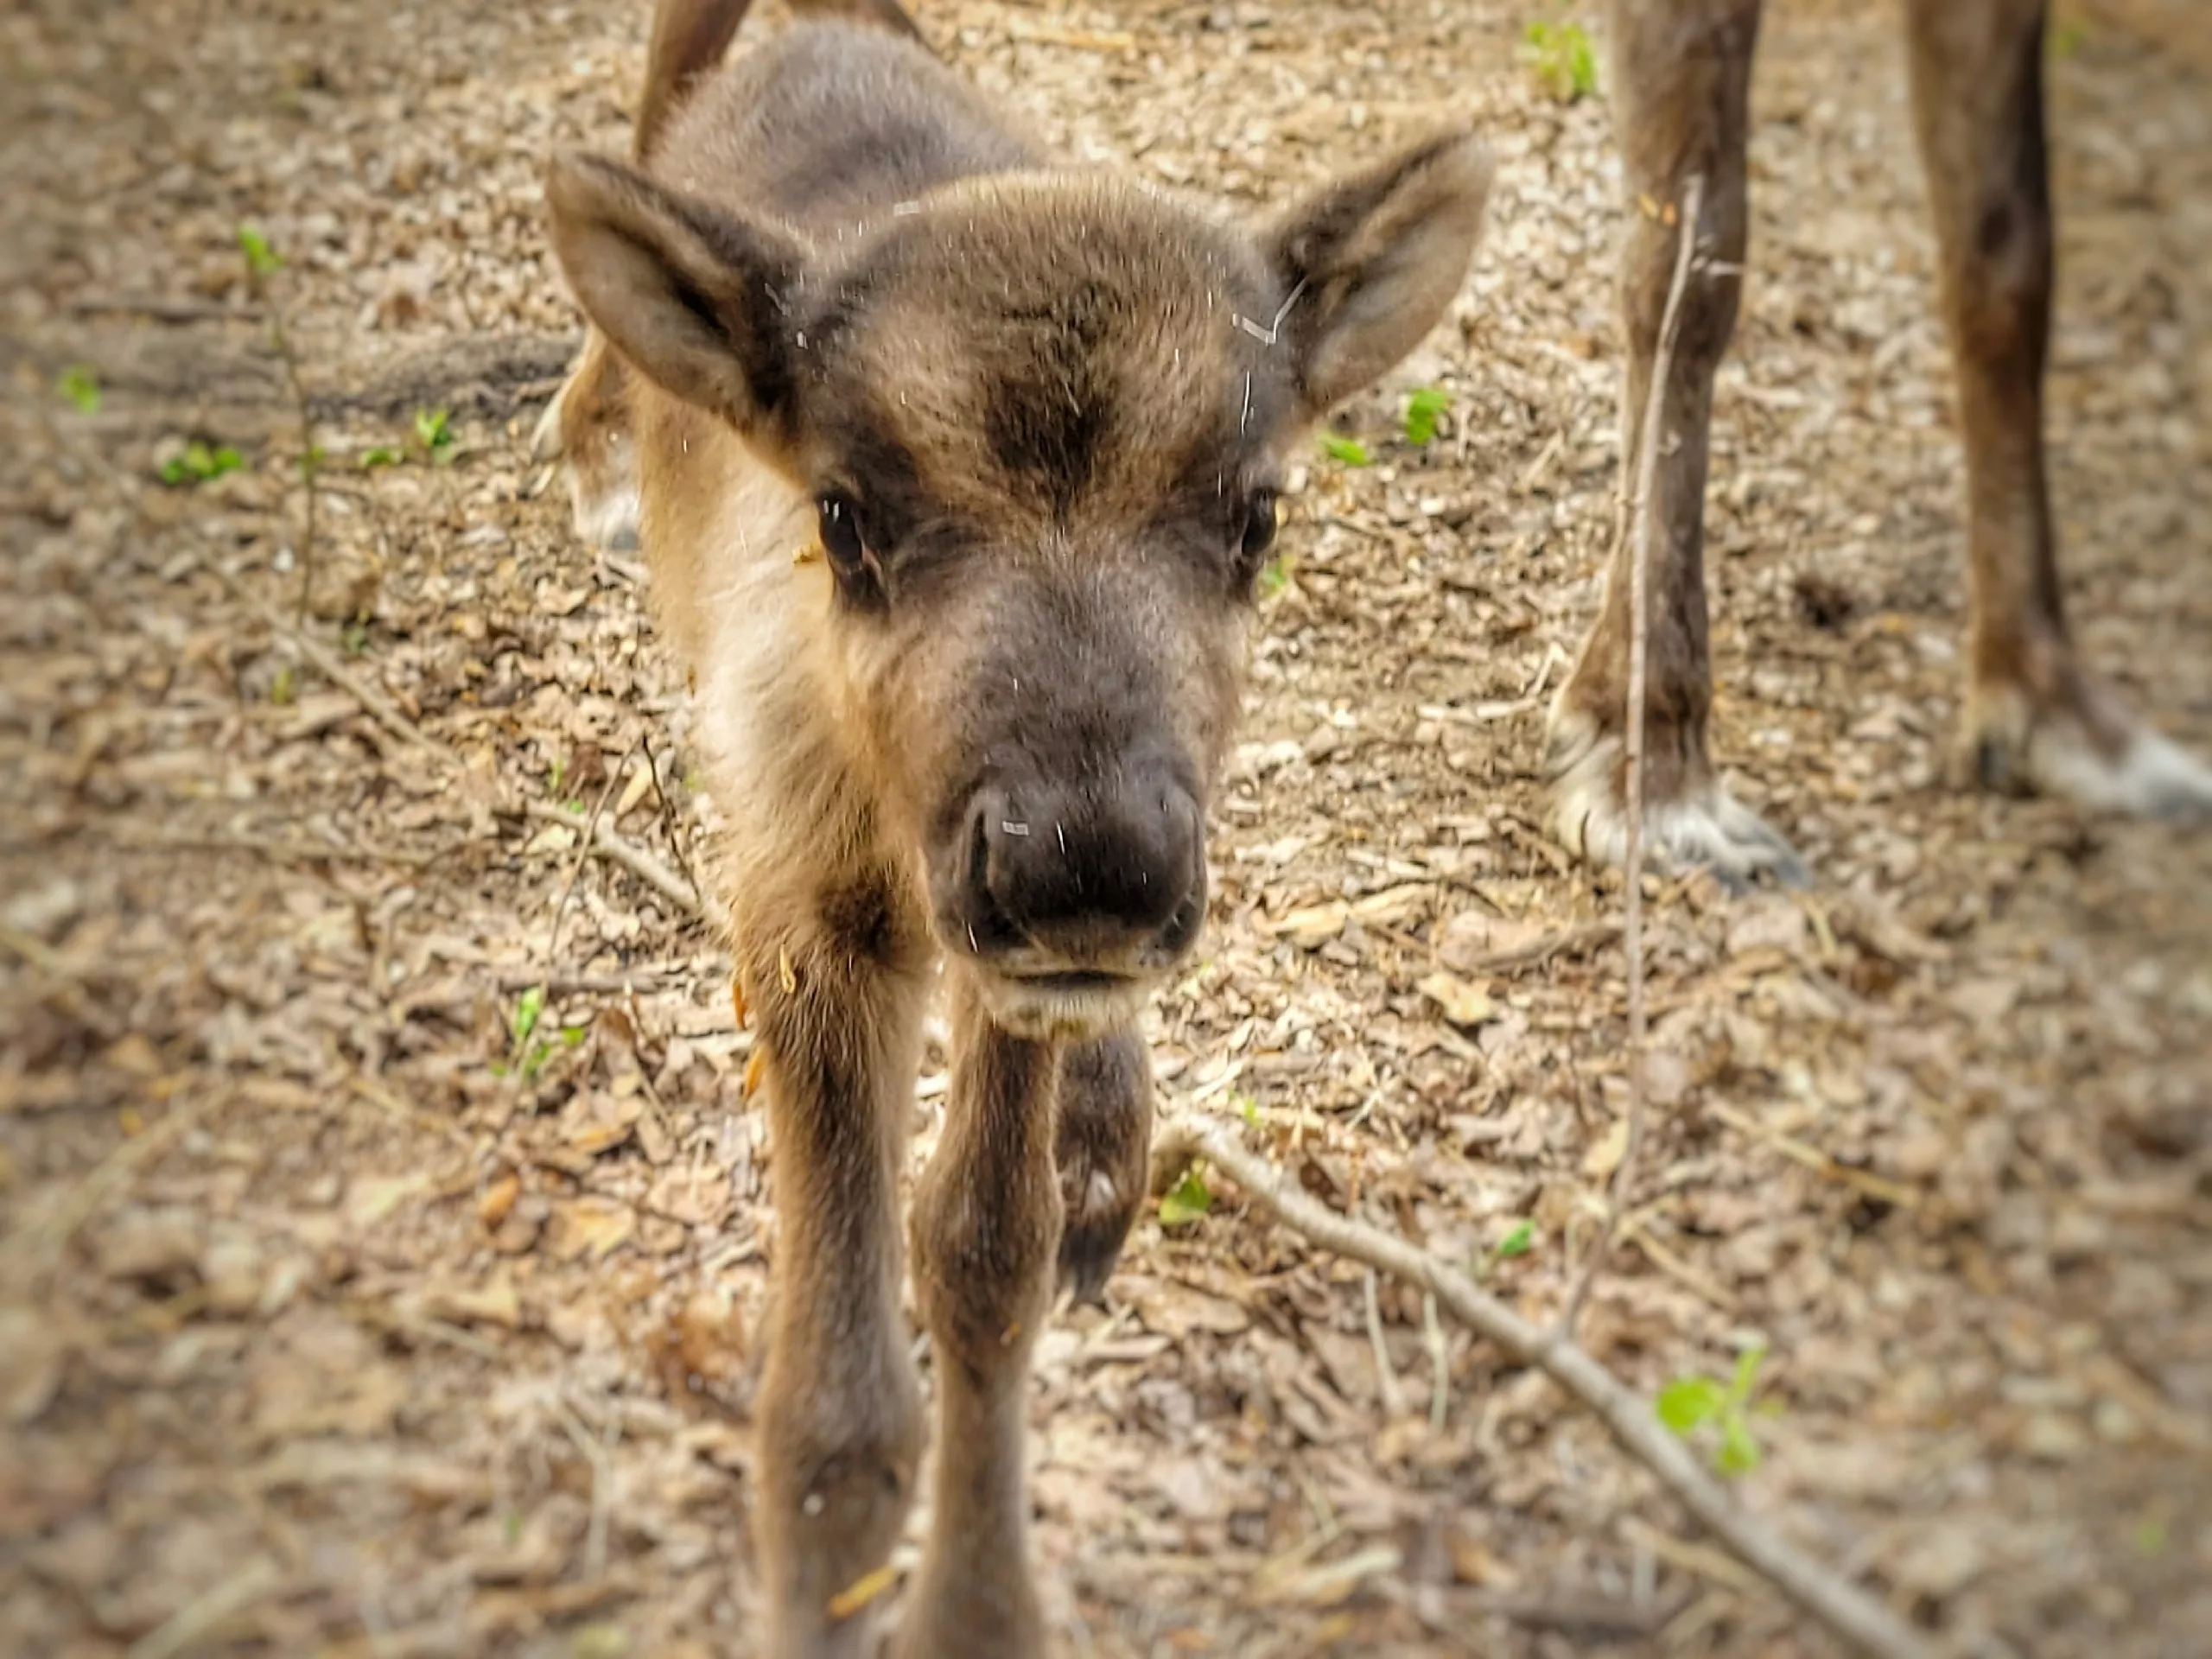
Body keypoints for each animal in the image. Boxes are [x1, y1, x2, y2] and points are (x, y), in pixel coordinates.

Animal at [543, 6, 1495, 1654]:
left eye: (1257, 517)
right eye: (845, 515)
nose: (1088, 867)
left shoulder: (1007, 971)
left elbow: (985, 1256)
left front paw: (976, 1607)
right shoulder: (816, 923)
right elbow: (838, 1409)